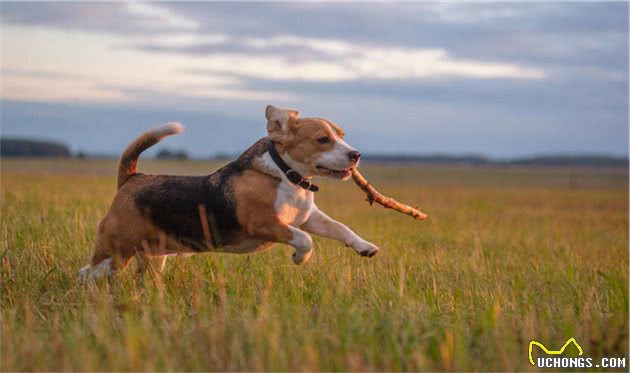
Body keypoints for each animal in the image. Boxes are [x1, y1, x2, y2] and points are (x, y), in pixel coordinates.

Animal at [79, 104, 380, 280]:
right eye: (323, 139)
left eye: (342, 135)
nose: (356, 155)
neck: (285, 174)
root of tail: (131, 178)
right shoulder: (265, 224)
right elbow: (305, 240)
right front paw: (299, 258)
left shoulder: (308, 217)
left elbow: (340, 228)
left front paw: (364, 246)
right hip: (115, 252)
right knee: (88, 272)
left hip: (152, 257)